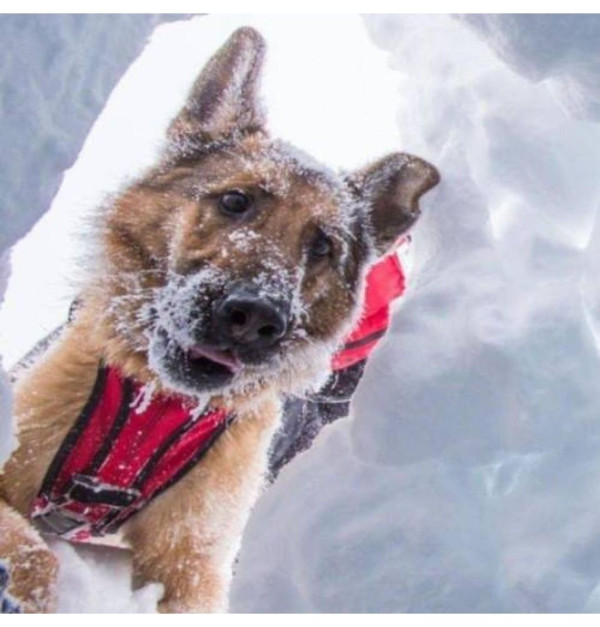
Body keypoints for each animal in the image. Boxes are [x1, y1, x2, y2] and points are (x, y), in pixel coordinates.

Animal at [0, 27, 440, 612]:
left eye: (323, 247)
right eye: (235, 200)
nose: (255, 318)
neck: (156, 402)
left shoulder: (196, 563)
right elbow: (34, 552)